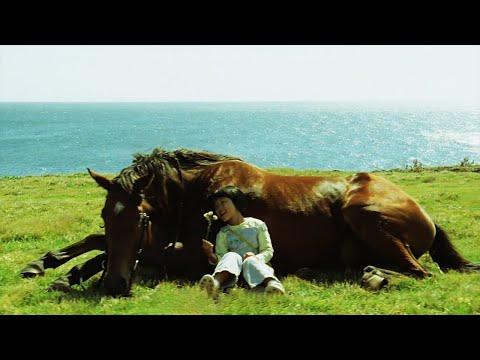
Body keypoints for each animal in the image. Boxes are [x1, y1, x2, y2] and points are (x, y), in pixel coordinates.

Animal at [19, 147, 480, 296]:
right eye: (105, 213)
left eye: (142, 217)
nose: (115, 286)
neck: (196, 194)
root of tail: (427, 215)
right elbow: (98, 241)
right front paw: (51, 266)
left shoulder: (190, 253)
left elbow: (139, 255)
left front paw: (71, 271)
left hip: (362, 212)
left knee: (419, 273)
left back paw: (373, 276)